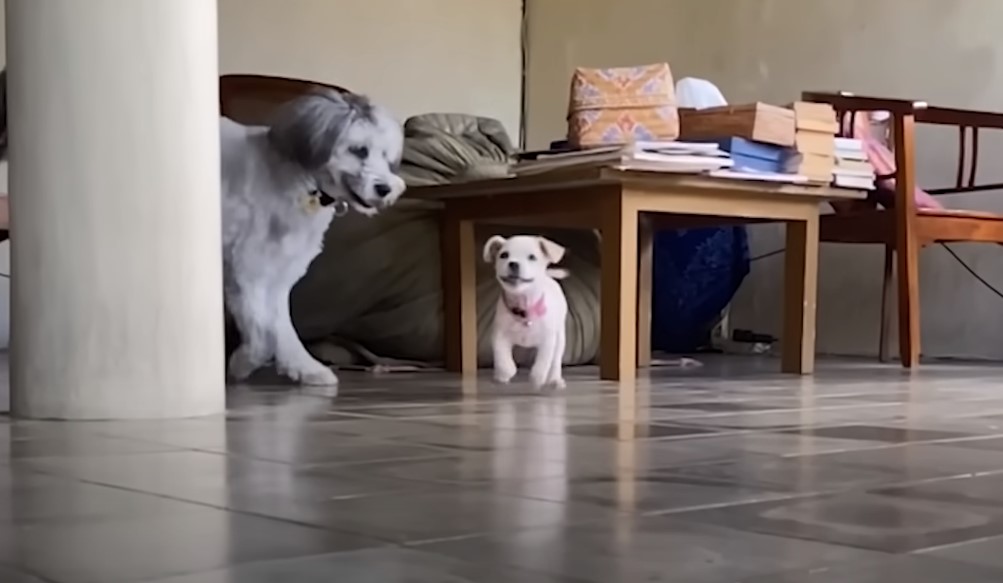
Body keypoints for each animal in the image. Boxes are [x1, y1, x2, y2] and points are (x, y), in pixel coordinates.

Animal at [483, 233, 569, 389]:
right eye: (504, 255)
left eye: (532, 257)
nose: (513, 263)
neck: (524, 308)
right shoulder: (499, 336)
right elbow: (502, 359)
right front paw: (505, 373)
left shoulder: (548, 340)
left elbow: (543, 362)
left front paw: (537, 378)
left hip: (560, 338)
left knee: (555, 362)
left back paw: (555, 379)